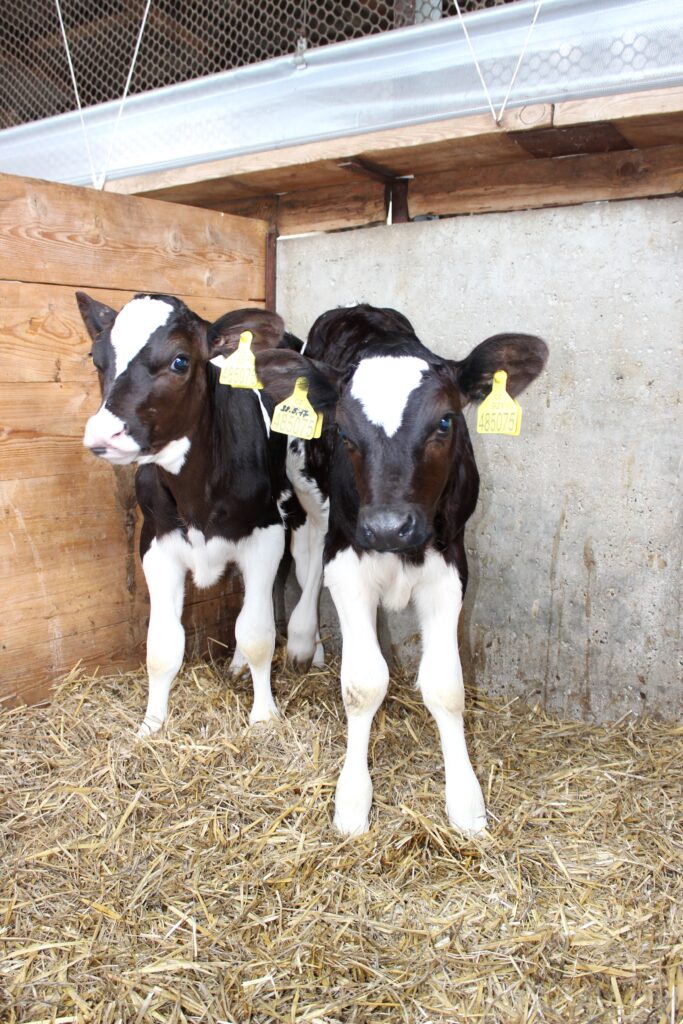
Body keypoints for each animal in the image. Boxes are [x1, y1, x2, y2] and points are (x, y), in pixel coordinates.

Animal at [76, 292, 294, 733]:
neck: (197, 495)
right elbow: (162, 646)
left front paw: (264, 716)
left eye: (180, 361)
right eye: (96, 358)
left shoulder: (265, 535)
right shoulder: (156, 542)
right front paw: (151, 724)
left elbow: (258, 634)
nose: (104, 433)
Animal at [253, 301, 548, 831]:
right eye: (342, 430)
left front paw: (466, 804)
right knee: (309, 554)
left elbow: (447, 687)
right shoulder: (347, 560)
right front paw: (352, 802)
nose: (389, 527)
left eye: (446, 422)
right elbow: (363, 684)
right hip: (307, 486)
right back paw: (305, 639)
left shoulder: (451, 564)